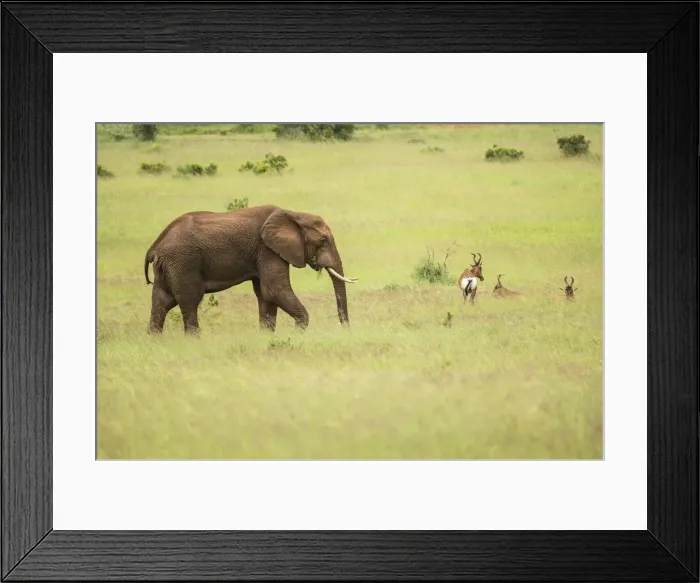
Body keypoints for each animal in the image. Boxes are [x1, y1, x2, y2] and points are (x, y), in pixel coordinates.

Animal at [143, 204, 357, 335]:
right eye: (322, 241)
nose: (346, 329)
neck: (292, 214)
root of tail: (156, 245)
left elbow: (265, 295)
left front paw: (266, 337)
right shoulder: (268, 249)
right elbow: (274, 290)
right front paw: (298, 333)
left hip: (168, 266)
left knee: (161, 302)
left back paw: (154, 341)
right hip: (182, 261)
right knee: (189, 301)